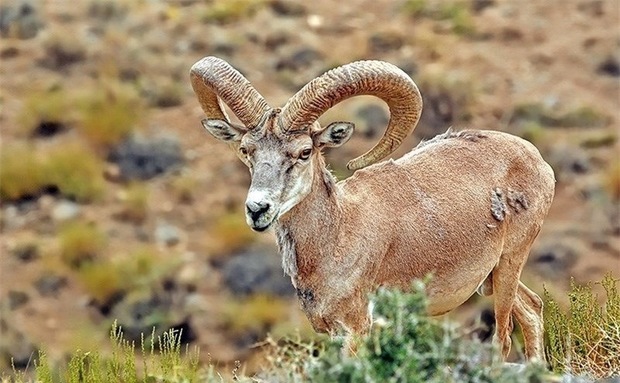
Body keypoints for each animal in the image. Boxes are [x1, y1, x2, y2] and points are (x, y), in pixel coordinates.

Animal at [190, 55, 556, 362]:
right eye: (246, 150)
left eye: (305, 151)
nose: (257, 208)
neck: (338, 235)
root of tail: (538, 161)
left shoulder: (357, 327)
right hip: (493, 276)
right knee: (533, 310)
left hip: (510, 261)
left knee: (504, 339)